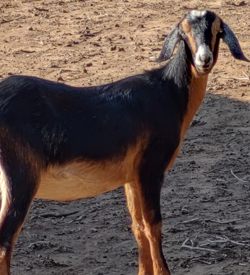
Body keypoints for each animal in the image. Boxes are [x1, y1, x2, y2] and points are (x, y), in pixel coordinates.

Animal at [0, 9, 247, 274]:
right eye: (184, 31)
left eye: (217, 31)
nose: (204, 60)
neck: (168, 92)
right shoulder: (150, 170)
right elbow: (153, 225)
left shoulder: (131, 178)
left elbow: (137, 226)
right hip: (20, 178)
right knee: (5, 240)